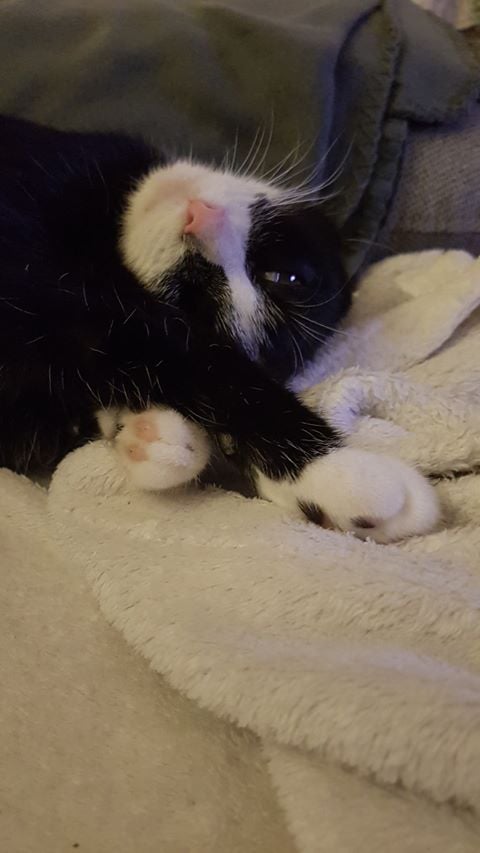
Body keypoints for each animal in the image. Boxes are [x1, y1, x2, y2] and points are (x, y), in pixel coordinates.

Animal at [0, 115, 439, 542]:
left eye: (187, 295)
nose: (199, 219)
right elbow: (161, 341)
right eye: (285, 277)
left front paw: (149, 434)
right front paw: (337, 470)